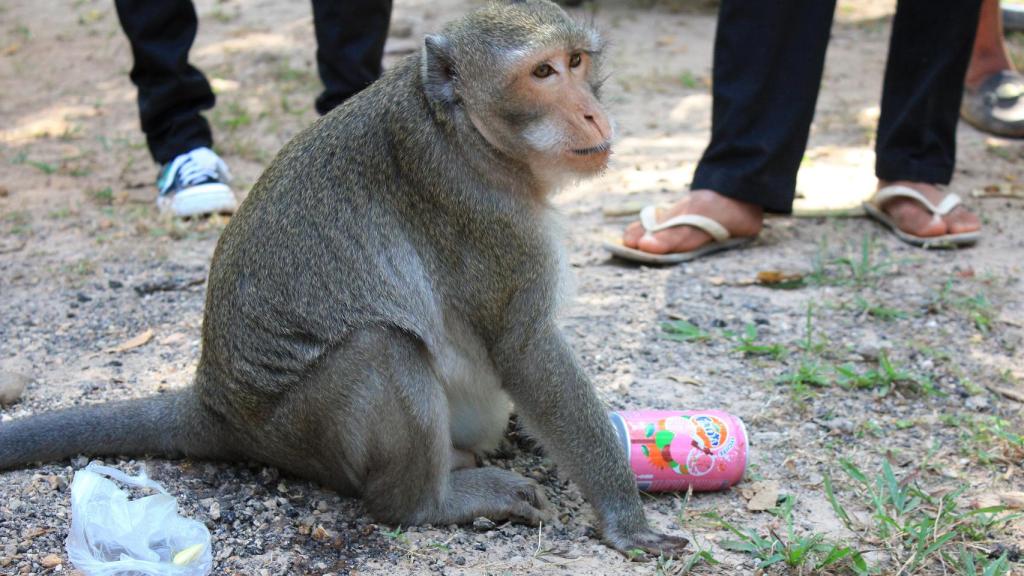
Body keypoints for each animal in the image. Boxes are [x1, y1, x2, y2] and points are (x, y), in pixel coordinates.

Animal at [0, 0, 688, 557]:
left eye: (575, 61)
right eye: (543, 74)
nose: (593, 114)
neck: (462, 130)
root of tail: (215, 403)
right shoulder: (491, 224)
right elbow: (525, 348)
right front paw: (626, 518)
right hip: (303, 432)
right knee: (384, 351)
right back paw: (434, 501)